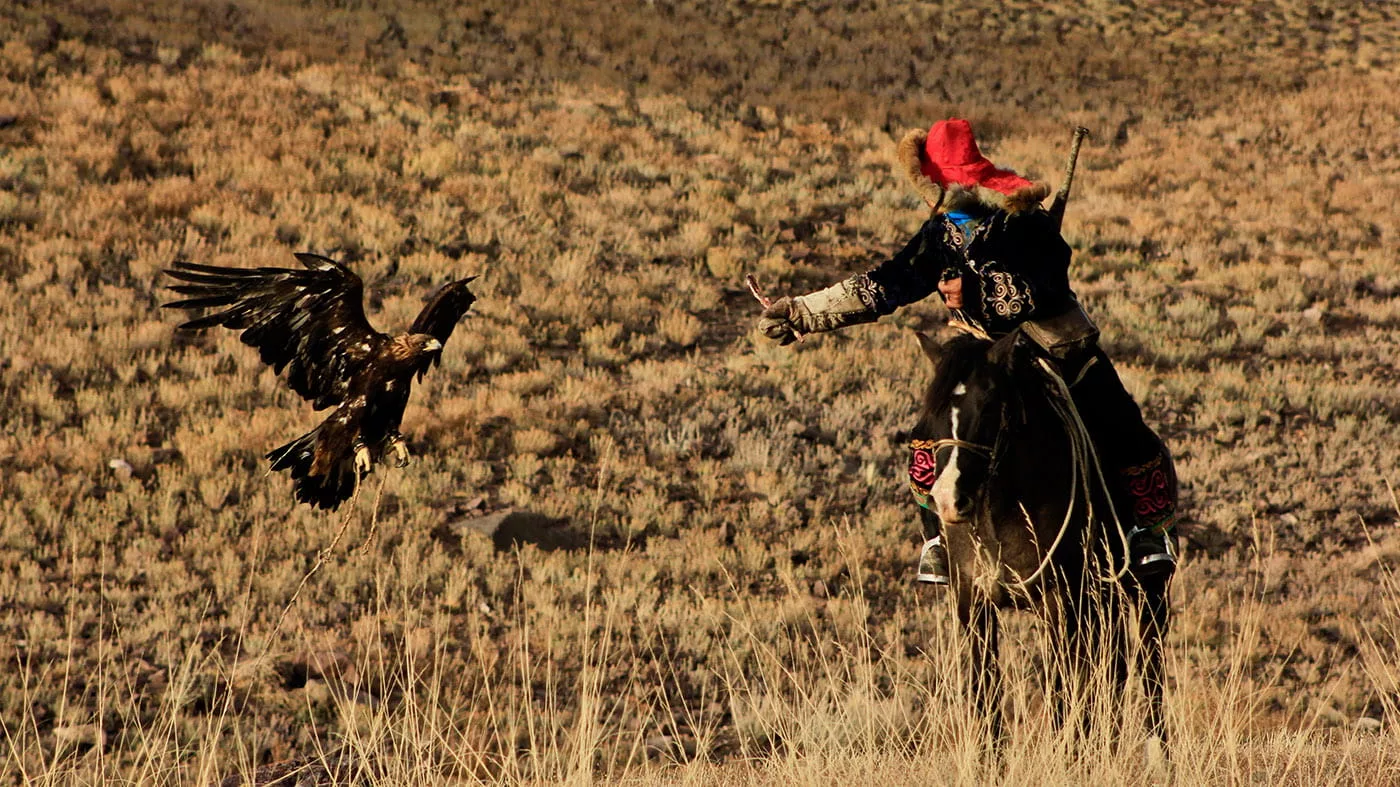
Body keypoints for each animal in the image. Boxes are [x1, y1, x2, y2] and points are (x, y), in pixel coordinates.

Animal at [912, 323, 1176, 756]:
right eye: (932, 413)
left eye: (989, 407)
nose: (950, 499)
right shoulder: (974, 603)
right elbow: (986, 695)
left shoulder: (1059, 603)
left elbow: (1060, 694)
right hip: (1101, 603)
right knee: (1113, 668)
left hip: (1145, 591)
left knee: (1147, 666)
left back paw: (1156, 753)